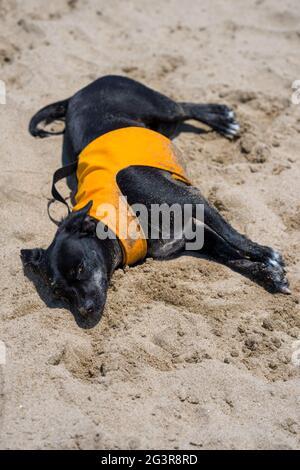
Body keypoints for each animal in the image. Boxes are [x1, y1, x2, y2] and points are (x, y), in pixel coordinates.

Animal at [19, 76, 290, 326]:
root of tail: (76, 94)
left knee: (183, 107)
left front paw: (266, 255)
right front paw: (269, 276)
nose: (84, 311)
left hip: (160, 109)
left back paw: (221, 117)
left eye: (80, 268)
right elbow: (233, 257)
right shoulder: (195, 236)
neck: (128, 212)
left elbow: (234, 238)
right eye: (59, 292)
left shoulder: (194, 201)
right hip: (163, 125)